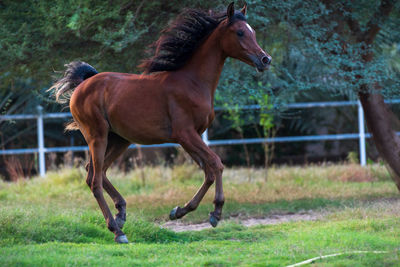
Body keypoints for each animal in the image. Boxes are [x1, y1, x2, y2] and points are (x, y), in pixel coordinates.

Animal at [48, 2, 270, 245]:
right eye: (240, 32)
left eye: (253, 31)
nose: (265, 59)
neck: (192, 82)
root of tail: (83, 84)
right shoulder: (185, 134)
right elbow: (217, 164)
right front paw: (216, 213)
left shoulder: (191, 137)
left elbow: (209, 171)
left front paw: (179, 211)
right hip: (97, 136)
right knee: (95, 180)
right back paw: (118, 231)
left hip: (119, 139)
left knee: (94, 173)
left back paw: (121, 214)